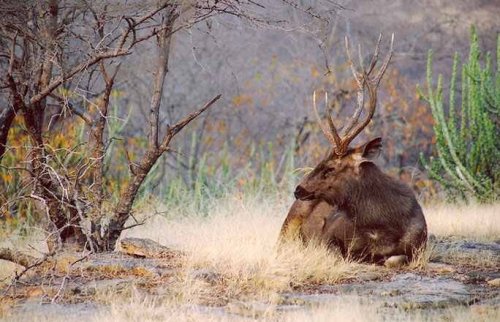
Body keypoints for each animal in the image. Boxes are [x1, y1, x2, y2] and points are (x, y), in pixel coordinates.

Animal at [280, 34, 428, 266]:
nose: (299, 189)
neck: (383, 226)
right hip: (287, 225)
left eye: (330, 168)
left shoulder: (419, 246)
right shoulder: (328, 237)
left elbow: (394, 258)